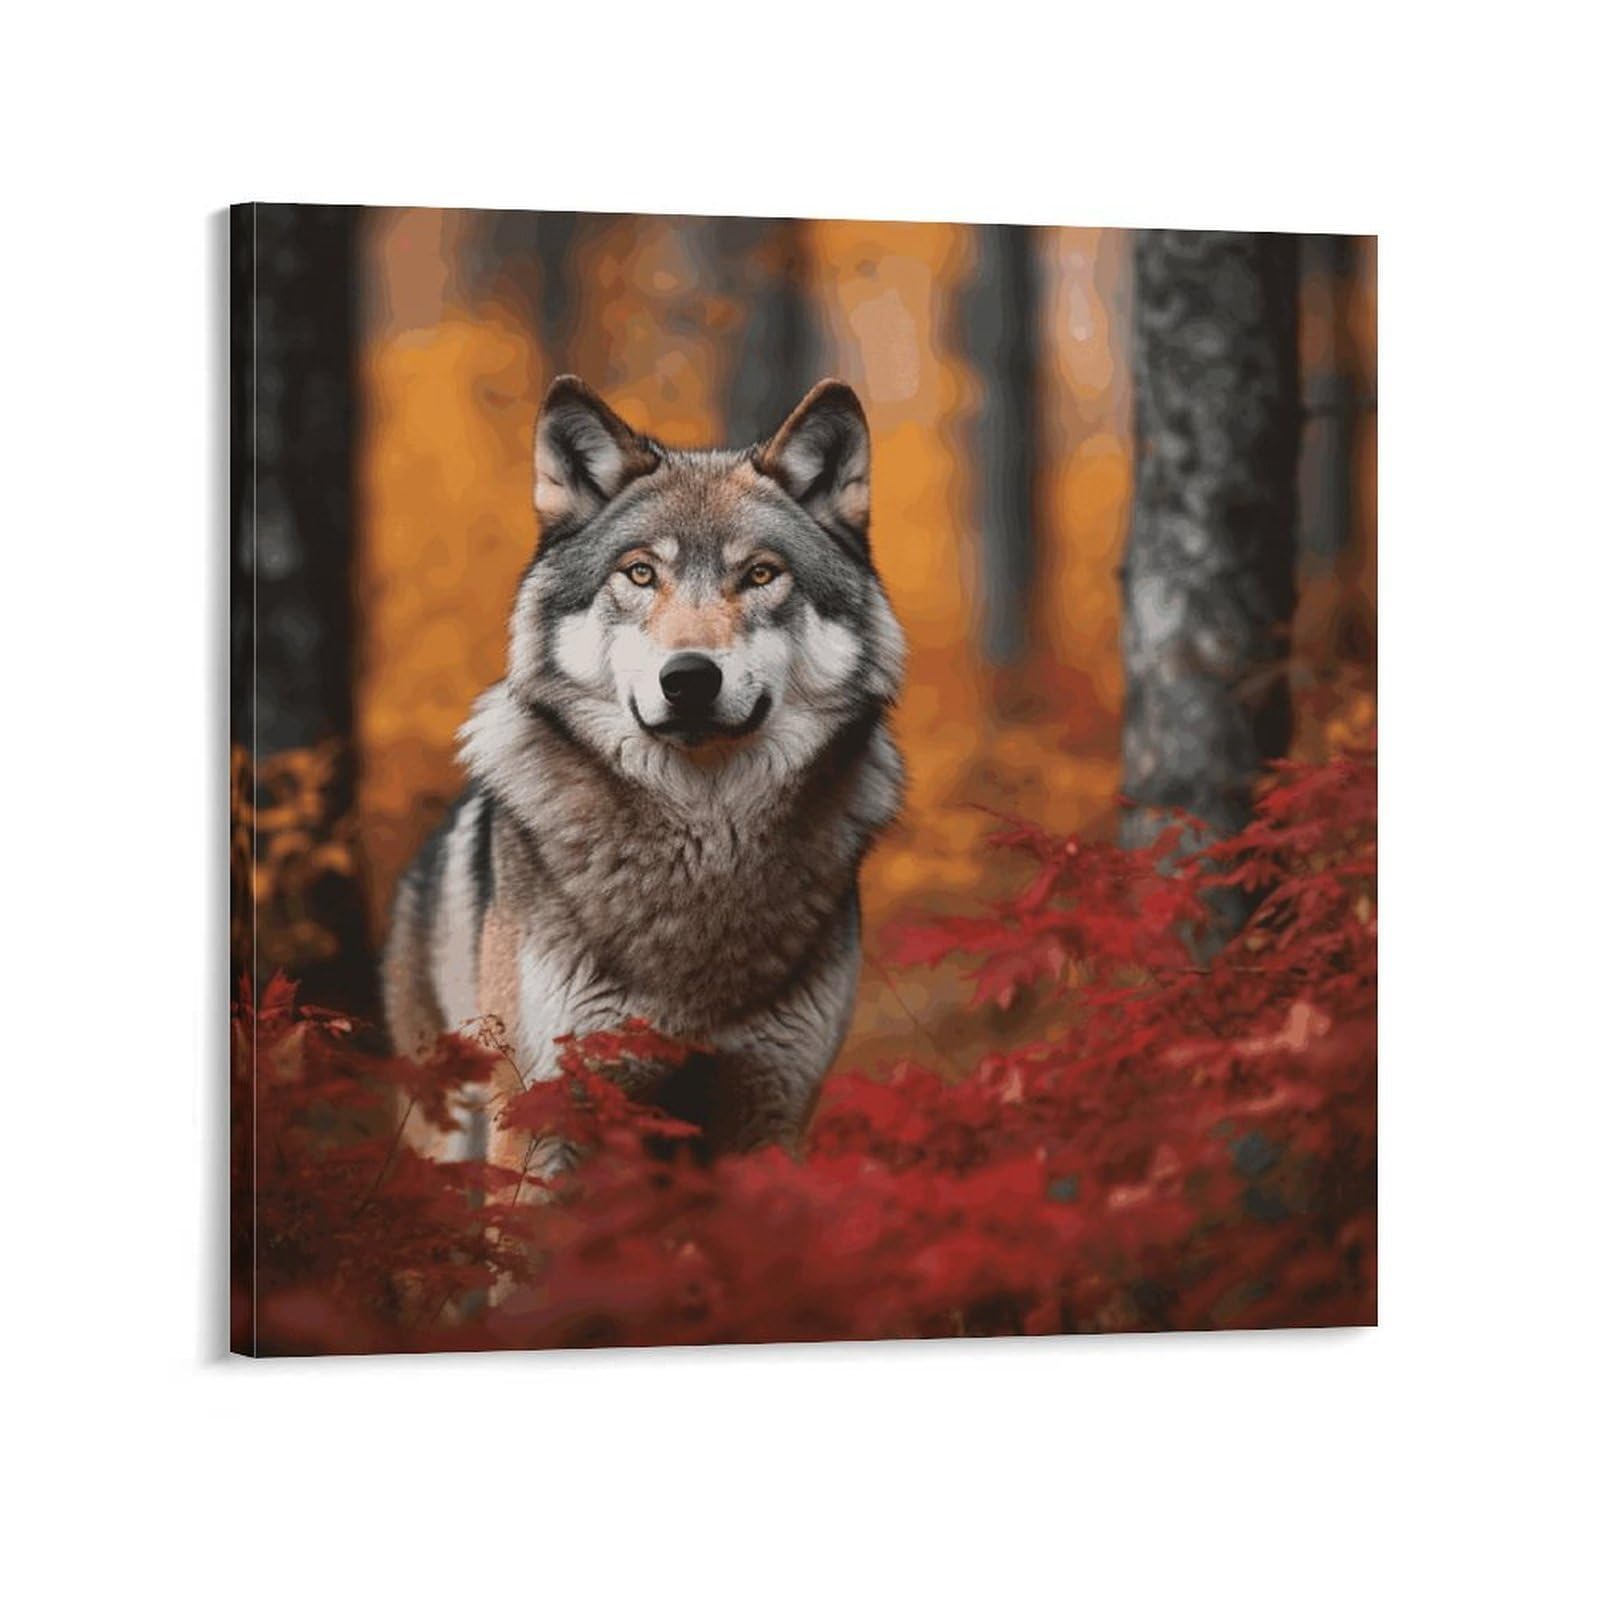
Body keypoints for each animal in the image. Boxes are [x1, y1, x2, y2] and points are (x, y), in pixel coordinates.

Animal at [382, 376, 906, 1167]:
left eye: (760, 574)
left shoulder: (773, 1110)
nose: (688, 678)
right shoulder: (539, 1115)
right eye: (640, 573)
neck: (702, 847)